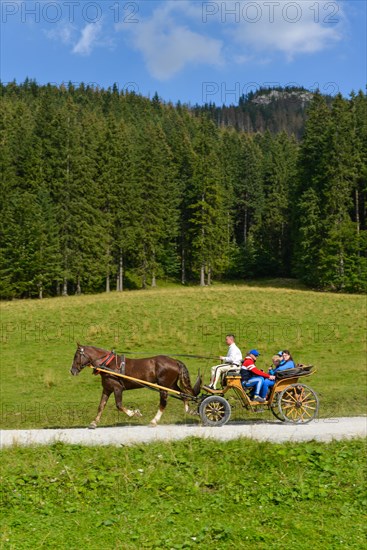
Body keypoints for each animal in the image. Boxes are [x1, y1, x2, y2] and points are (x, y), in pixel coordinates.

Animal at [70, 344, 203, 432]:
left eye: (76, 355)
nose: (72, 371)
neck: (108, 365)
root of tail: (175, 361)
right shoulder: (107, 389)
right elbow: (101, 406)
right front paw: (93, 423)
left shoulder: (117, 388)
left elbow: (119, 405)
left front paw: (135, 413)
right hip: (171, 384)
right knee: (184, 394)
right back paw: (189, 410)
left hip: (164, 386)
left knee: (163, 402)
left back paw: (154, 421)